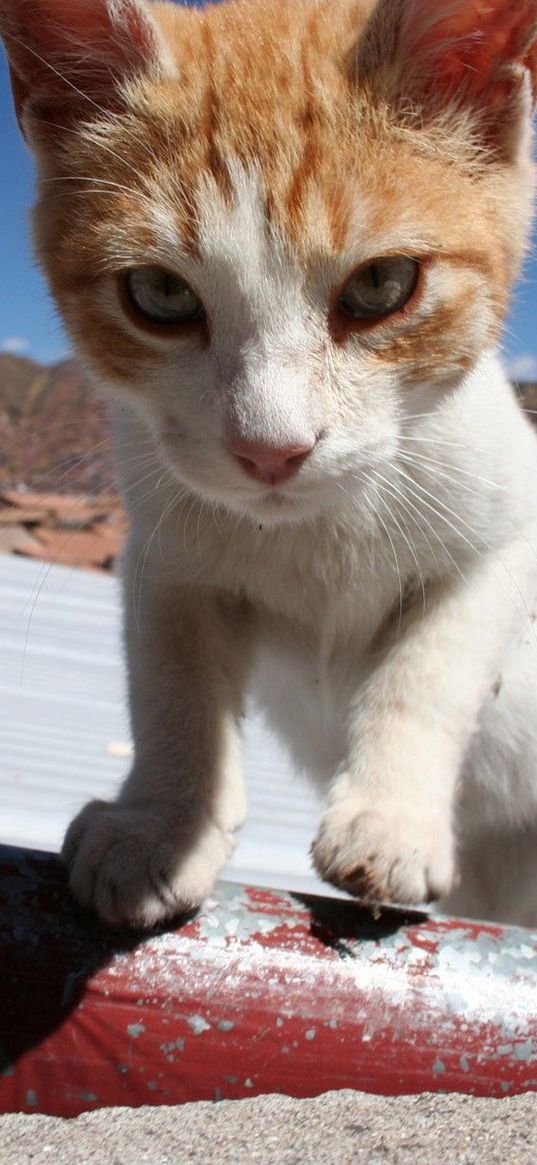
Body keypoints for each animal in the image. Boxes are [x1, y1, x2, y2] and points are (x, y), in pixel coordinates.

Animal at [3, 0, 535, 927]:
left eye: (380, 284)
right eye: (161, 295)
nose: (271, 449)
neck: (319, 527)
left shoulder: (506, 534)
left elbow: (429, 670)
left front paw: (389, 819)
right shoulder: (163, 550)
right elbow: (173, 684)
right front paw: (160, 822)